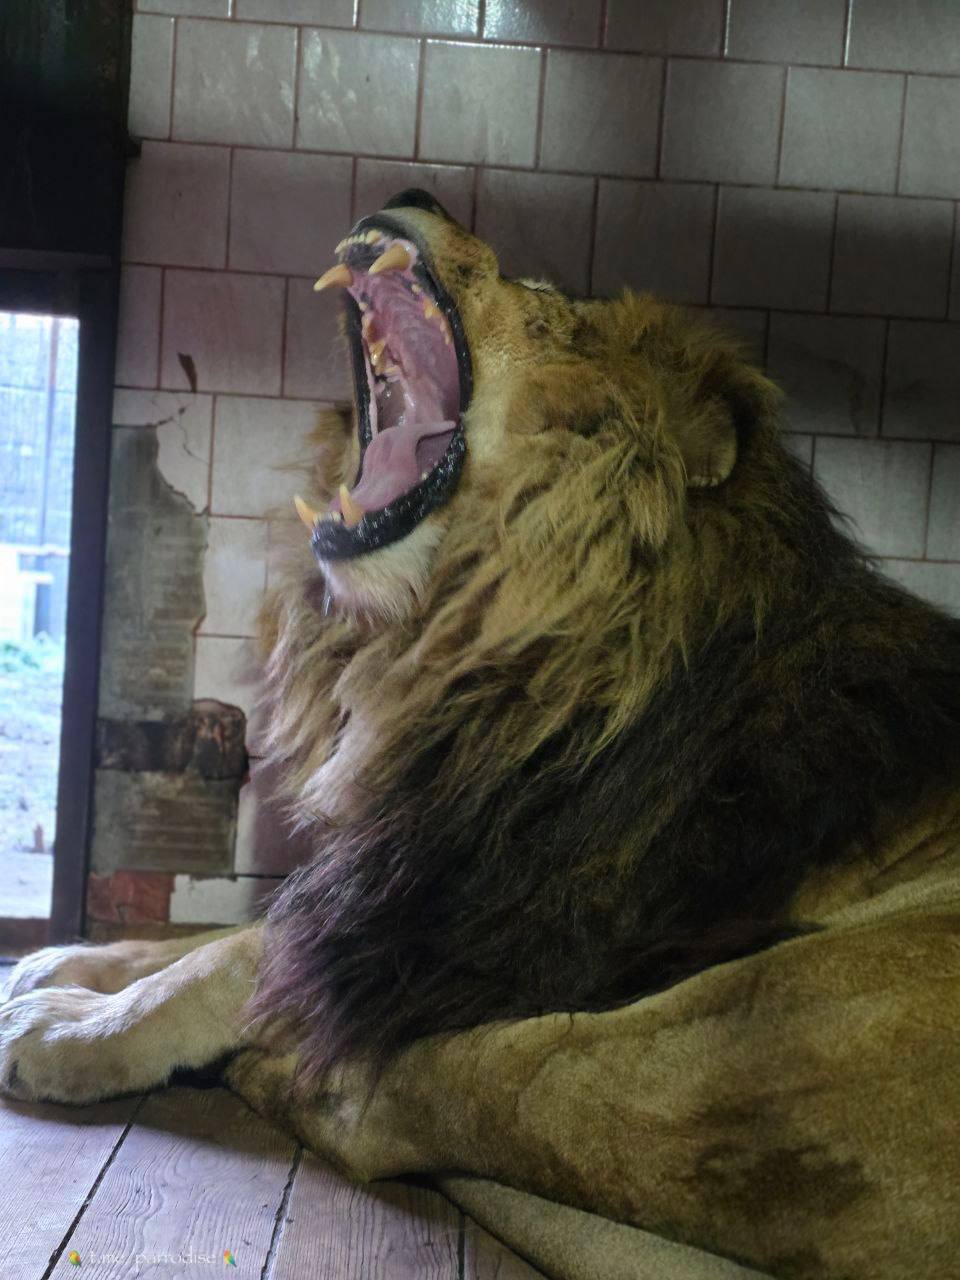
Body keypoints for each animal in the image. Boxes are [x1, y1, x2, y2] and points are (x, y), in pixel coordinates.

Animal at [2, 189, 959, 1280]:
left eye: (540, 292)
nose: (416, 196)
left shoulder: (486, 916)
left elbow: (246, 957)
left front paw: (76, 1024)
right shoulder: (402, 862)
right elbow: (240, 928)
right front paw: (69, 957)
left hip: (780, 1015)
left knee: (410, 1097)